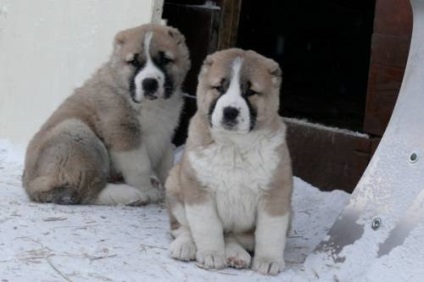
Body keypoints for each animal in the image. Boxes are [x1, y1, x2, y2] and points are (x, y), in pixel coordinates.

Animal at [21, 23, 190, 205]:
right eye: (133, 62)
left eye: (165, 60)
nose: (149, 83)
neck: (152, 105)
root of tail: (30, 186)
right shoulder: (123, 132)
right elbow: (140, 165)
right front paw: (147, 190)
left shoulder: (164, 132)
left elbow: (166, 160)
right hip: (75, 132)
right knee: (87, 191)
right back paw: (130, 194)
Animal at [165, 48, 292, 276]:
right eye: (218, 88)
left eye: (250, 92)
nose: (230, 111)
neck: (234, 146)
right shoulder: (199, 191)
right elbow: (207, 226)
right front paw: (212, 255)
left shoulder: (275, 194)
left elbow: (270, 232)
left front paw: (268, 260)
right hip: (174, 184)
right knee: (183, 227)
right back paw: (185, 246)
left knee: (234, 237)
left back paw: (236, 254)